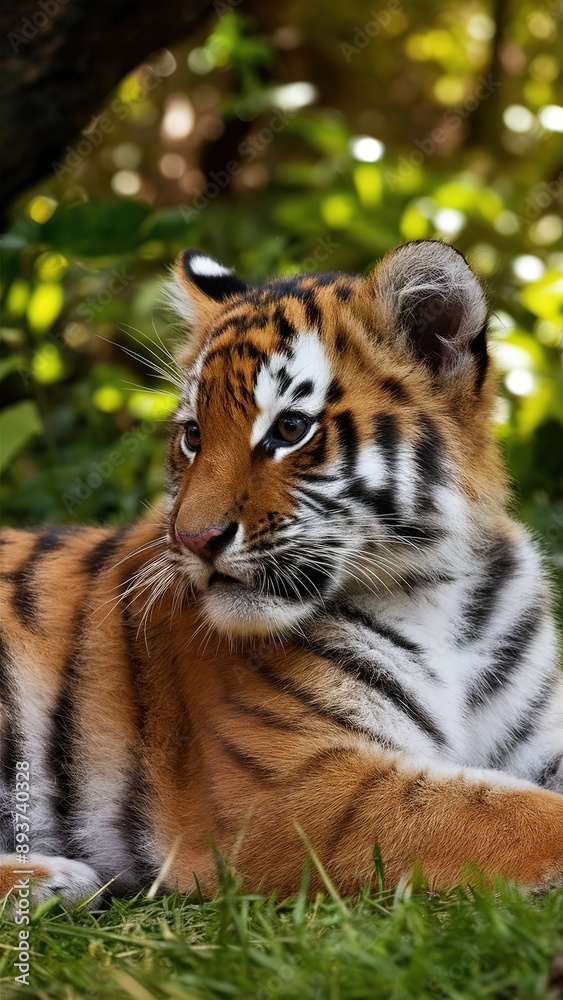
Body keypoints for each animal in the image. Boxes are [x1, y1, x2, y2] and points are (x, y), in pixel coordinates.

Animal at [1, 239, 562, 908]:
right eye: (193, 436)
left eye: (290, 429)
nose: (193, 539)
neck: (445, 595)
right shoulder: (294, 789)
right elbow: (514, 813)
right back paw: (52, 878)